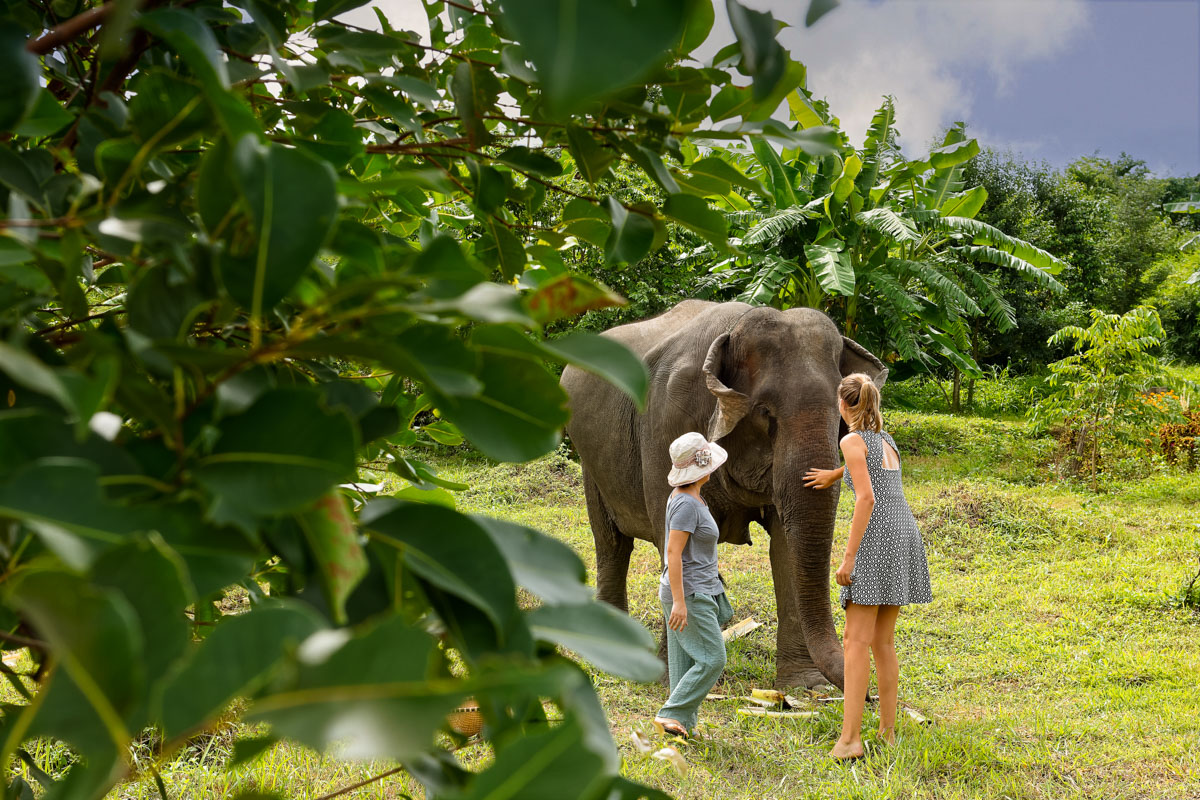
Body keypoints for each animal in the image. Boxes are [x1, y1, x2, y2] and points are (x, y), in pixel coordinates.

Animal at [560, 300, 888, 689]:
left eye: (840, 414)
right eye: (765, 413)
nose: (868, 694)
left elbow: (784, 548)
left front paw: (804, 685)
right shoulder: (666, 424)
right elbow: (671, 535)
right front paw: (673, 677)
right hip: (592, 464)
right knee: (611, 544)